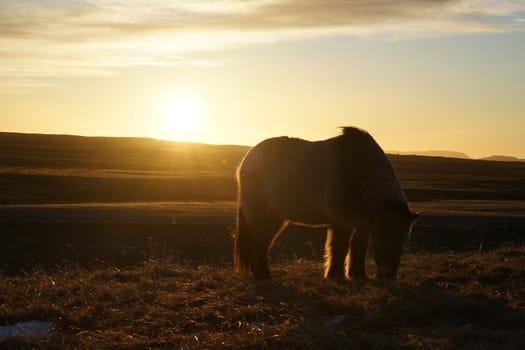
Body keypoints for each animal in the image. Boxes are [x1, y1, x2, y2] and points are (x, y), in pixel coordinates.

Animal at [231, 127, 420, 280]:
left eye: (404, 238)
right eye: (382, 235)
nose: (388, 275)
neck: (356, 171)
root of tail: (246, 160)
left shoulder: (362, 224)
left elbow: (358, 248)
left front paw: (357, 275)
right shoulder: (341, 221)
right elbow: (339, 247)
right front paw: (334, 275)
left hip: (276, 217)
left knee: (263, 241)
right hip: (261, 214)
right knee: (259, 241)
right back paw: (263, 274)